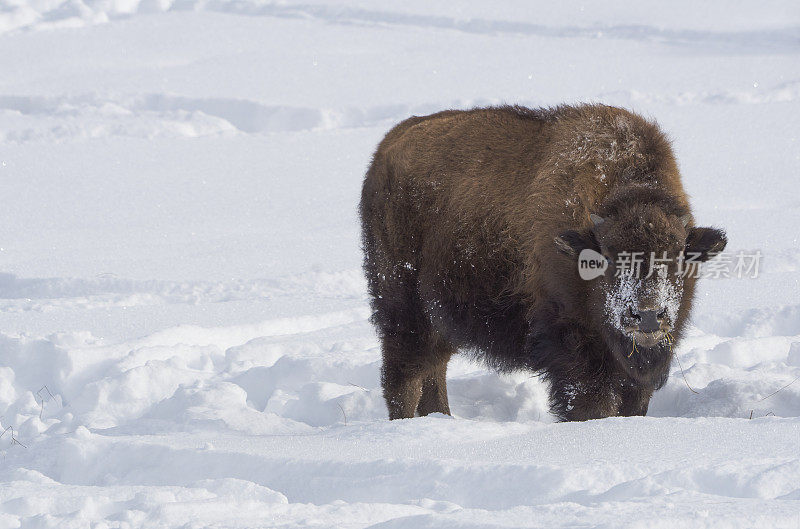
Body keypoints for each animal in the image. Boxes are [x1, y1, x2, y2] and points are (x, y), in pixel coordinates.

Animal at [360, 104, 728, 420]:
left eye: (678, 254)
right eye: (607, 257)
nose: (648, 315)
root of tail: (387, 148)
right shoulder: (574, 347)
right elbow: (591, 403)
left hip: (437, 315)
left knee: (433, 367)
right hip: (402, 304)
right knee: (405, 374)